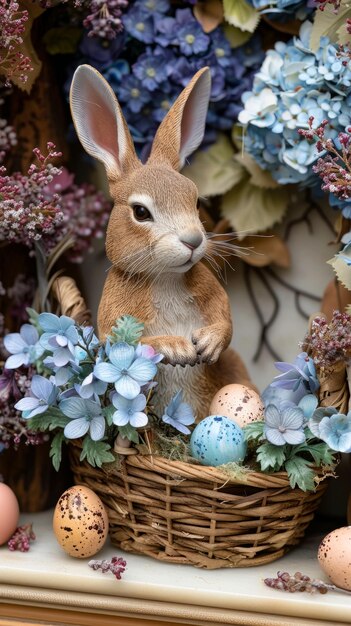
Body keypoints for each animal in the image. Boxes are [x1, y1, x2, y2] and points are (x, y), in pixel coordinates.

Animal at [70, 63, 254, 420]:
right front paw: (177, 346)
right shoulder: (113, 321)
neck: (165, 277)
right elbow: (128, 343)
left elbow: (226, 321)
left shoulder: (214, 297)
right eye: (140, 212)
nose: (193, 240)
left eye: (195, 201)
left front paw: (207, 343)